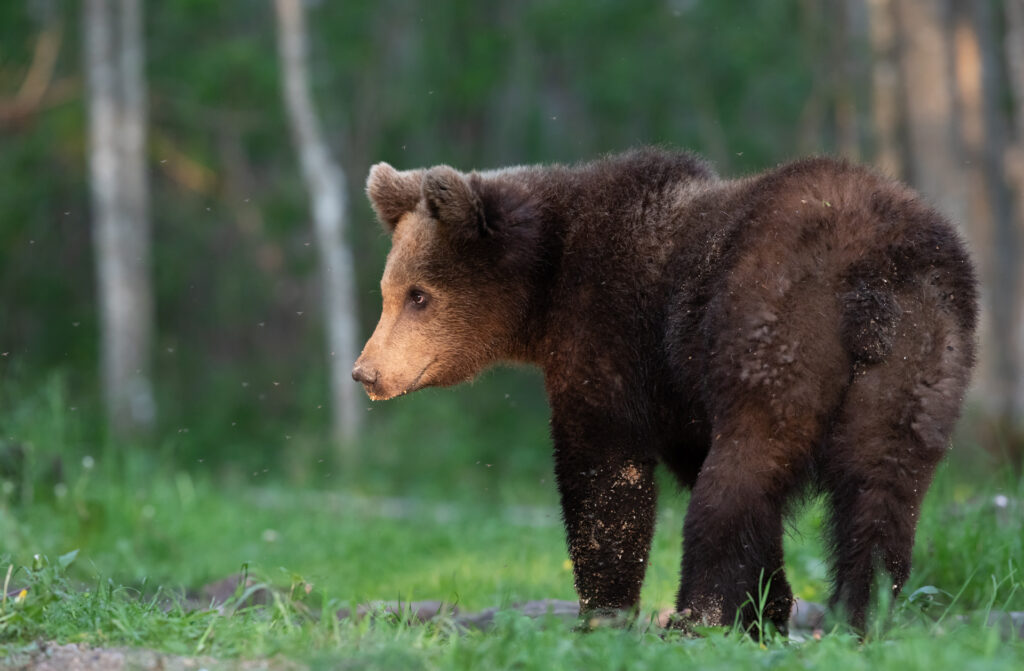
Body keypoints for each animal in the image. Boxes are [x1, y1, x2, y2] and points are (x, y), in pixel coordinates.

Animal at [352, 148, 974, 635]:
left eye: (419, 295)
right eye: (388, 290)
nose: (366, 371)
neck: (547, 287)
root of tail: (869, 282)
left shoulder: (614, 337)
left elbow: (605, 477)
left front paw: (604, 613)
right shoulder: (678, 395)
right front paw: (770, 607)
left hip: (774, 327)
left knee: (739, 475)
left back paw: (695, 617)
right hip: (921, 352)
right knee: (883, 484)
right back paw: (863, 616)